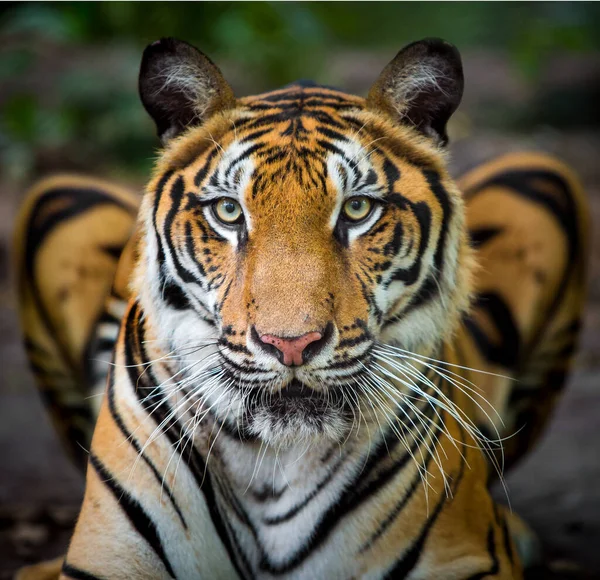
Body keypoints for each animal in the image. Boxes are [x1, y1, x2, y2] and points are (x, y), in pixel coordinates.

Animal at [15, 37, 592, 580]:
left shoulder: (465, 557)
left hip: (542, 171)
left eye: (357, 209)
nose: (291, 345)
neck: (275, 462)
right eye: (229, 212)